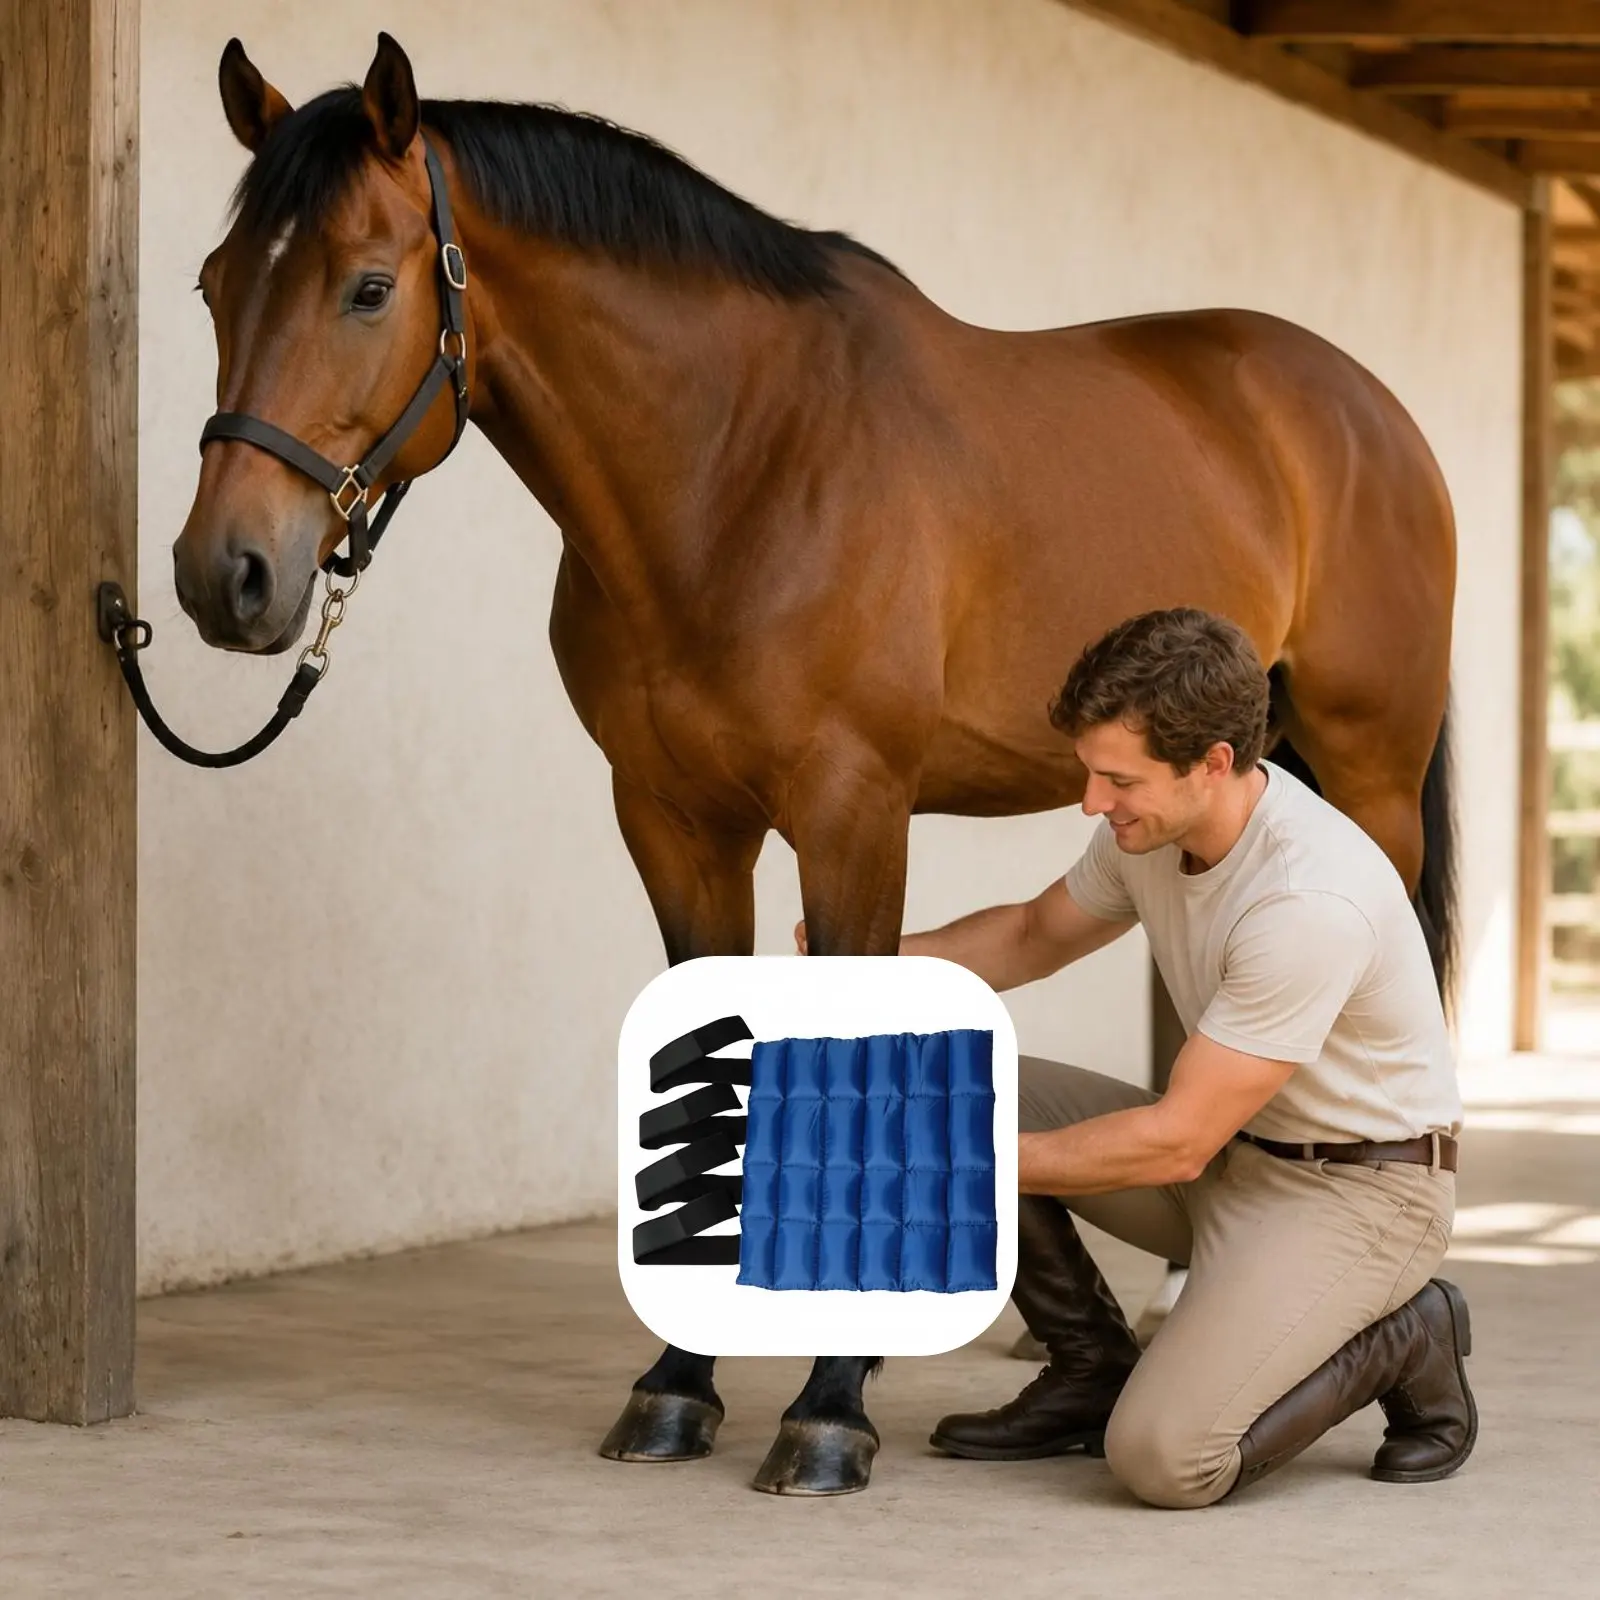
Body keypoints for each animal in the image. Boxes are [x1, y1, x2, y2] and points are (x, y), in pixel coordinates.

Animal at [173, 33, 1458, 1497]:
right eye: (213, 283)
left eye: (370, 287)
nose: (226, 575)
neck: (739, 466)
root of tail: (1359, 406)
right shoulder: (671, 818)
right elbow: (703, 1070)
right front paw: (676, 1387)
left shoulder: (854, 810)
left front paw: (831, 1406)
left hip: (1369, 773)